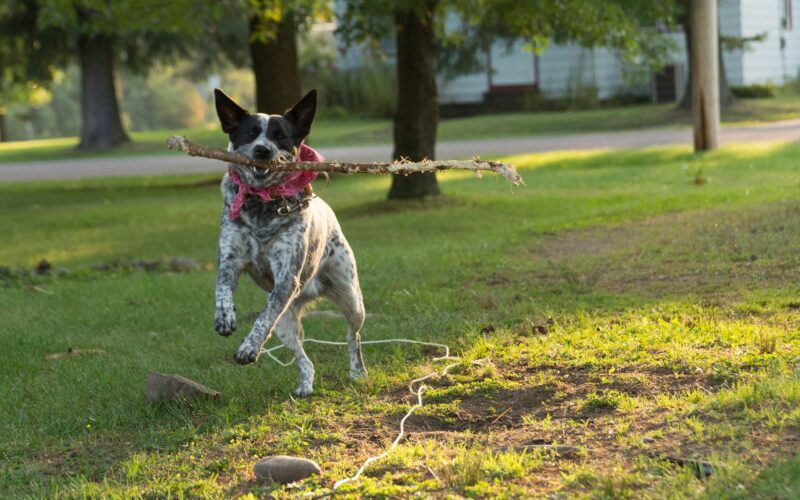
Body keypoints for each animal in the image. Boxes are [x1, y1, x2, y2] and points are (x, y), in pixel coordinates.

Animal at [209, 88, 366, 396]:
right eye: (250, 133)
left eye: (280, 135)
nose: (262, 150)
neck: (262, 205)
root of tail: (309, 292)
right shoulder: (230, 261)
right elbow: (222, 289)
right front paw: (225, 318)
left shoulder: (286, 277)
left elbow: (262, 319)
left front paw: (248, 348)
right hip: (285, 326)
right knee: (304, 359)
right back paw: (305, 385)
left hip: (352, 300)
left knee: (352, 337)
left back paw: (358, 372)